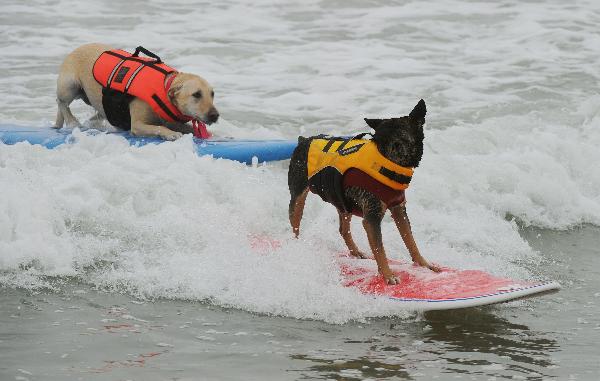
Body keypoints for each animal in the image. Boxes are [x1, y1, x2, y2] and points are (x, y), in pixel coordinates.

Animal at [288, 99, 438, 284]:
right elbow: (380, 249)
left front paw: (424, 264)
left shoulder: (399, 210)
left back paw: (356, 252)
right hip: (298, 196)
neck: (387, 158)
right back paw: (297, 247)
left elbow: (410, 240)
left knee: (343, 229)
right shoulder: (371, 219)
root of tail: (303, 141)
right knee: (295, 225)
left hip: (342, 201)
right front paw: (388, 275)